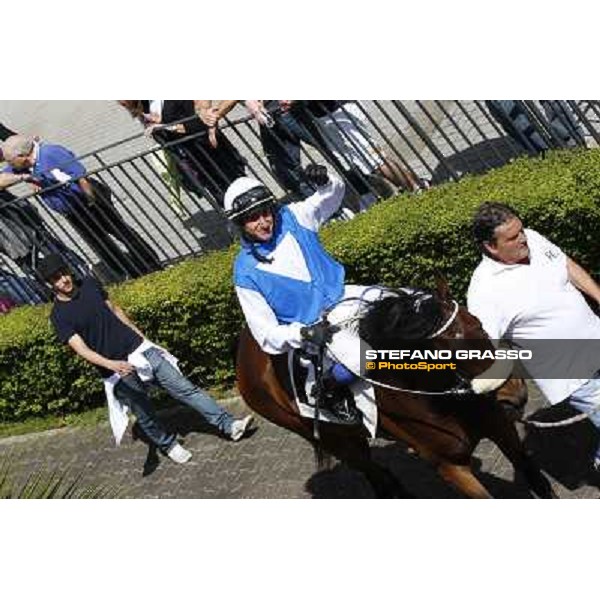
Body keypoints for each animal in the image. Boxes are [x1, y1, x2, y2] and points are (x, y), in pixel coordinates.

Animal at [233, 278, 552, 500]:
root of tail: (244, 351)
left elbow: (539, 481)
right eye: (445, 352)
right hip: (330, 438)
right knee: (374, 473)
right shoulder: (449, 465)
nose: (514, 393)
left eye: (480, 324)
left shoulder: (501, 427)